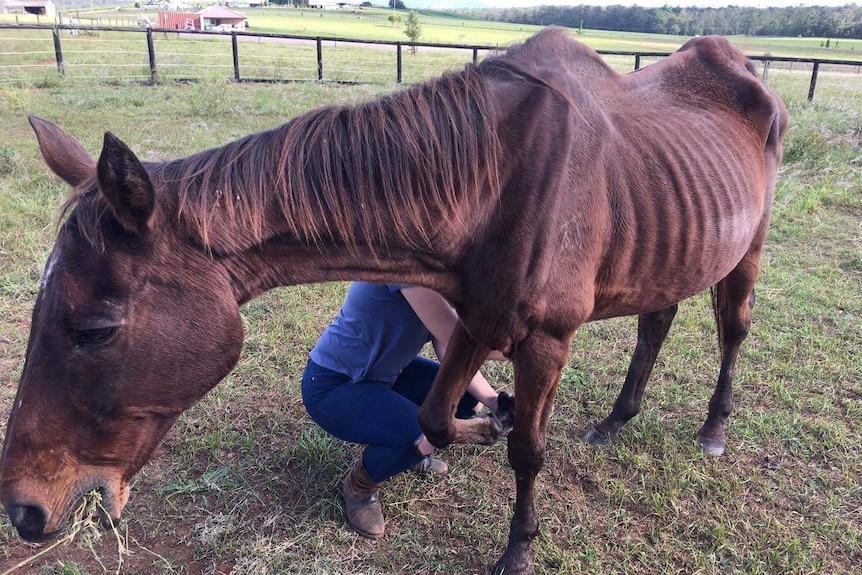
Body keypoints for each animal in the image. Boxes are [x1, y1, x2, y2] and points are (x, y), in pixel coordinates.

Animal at [0, 28, 788, 575]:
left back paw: (714, 427)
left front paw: (517, 548)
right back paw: (616, 419)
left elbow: (529, 452)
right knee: (657, 320)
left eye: (94, 329)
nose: (24, 509)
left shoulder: (544, 339)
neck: (495, 180)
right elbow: (432, 417)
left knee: (733, 330)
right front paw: (481, 426)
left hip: (746, 250)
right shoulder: (475, 318)